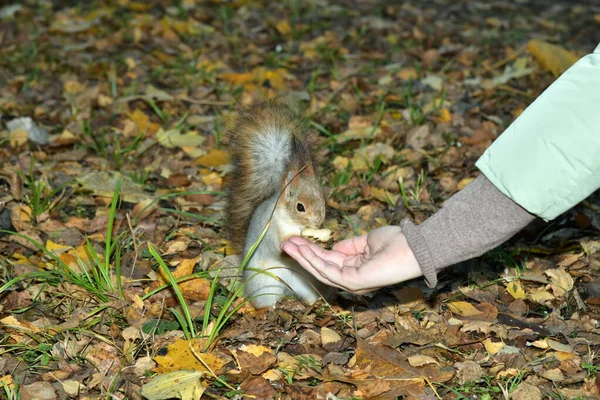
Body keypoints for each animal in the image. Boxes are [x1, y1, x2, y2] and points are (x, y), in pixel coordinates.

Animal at [224, 101, 330, 308]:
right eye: (300, 207)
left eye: (323, 200)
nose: (318, 224)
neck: (292, 222)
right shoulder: (272, 229)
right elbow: (281, 246)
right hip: (265, 283)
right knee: (266, 301)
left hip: (306, 282)